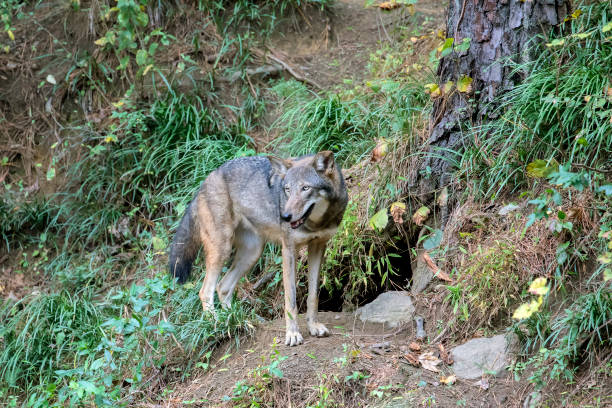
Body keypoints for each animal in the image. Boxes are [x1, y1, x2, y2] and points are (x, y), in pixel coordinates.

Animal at [170, 151, 346, 346]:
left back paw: (235, 322)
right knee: (205, 292)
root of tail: (206, 180)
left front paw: (313, 326)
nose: (284, 216)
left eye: (305, 188)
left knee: (223, 287)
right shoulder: (289, 250)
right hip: (222, 250)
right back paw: (216, 326)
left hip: (252, 254)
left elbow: (313, 295)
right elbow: (290, 299)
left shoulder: (318, 246)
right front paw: (292, 334)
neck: (317, 223)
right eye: (287, 190)